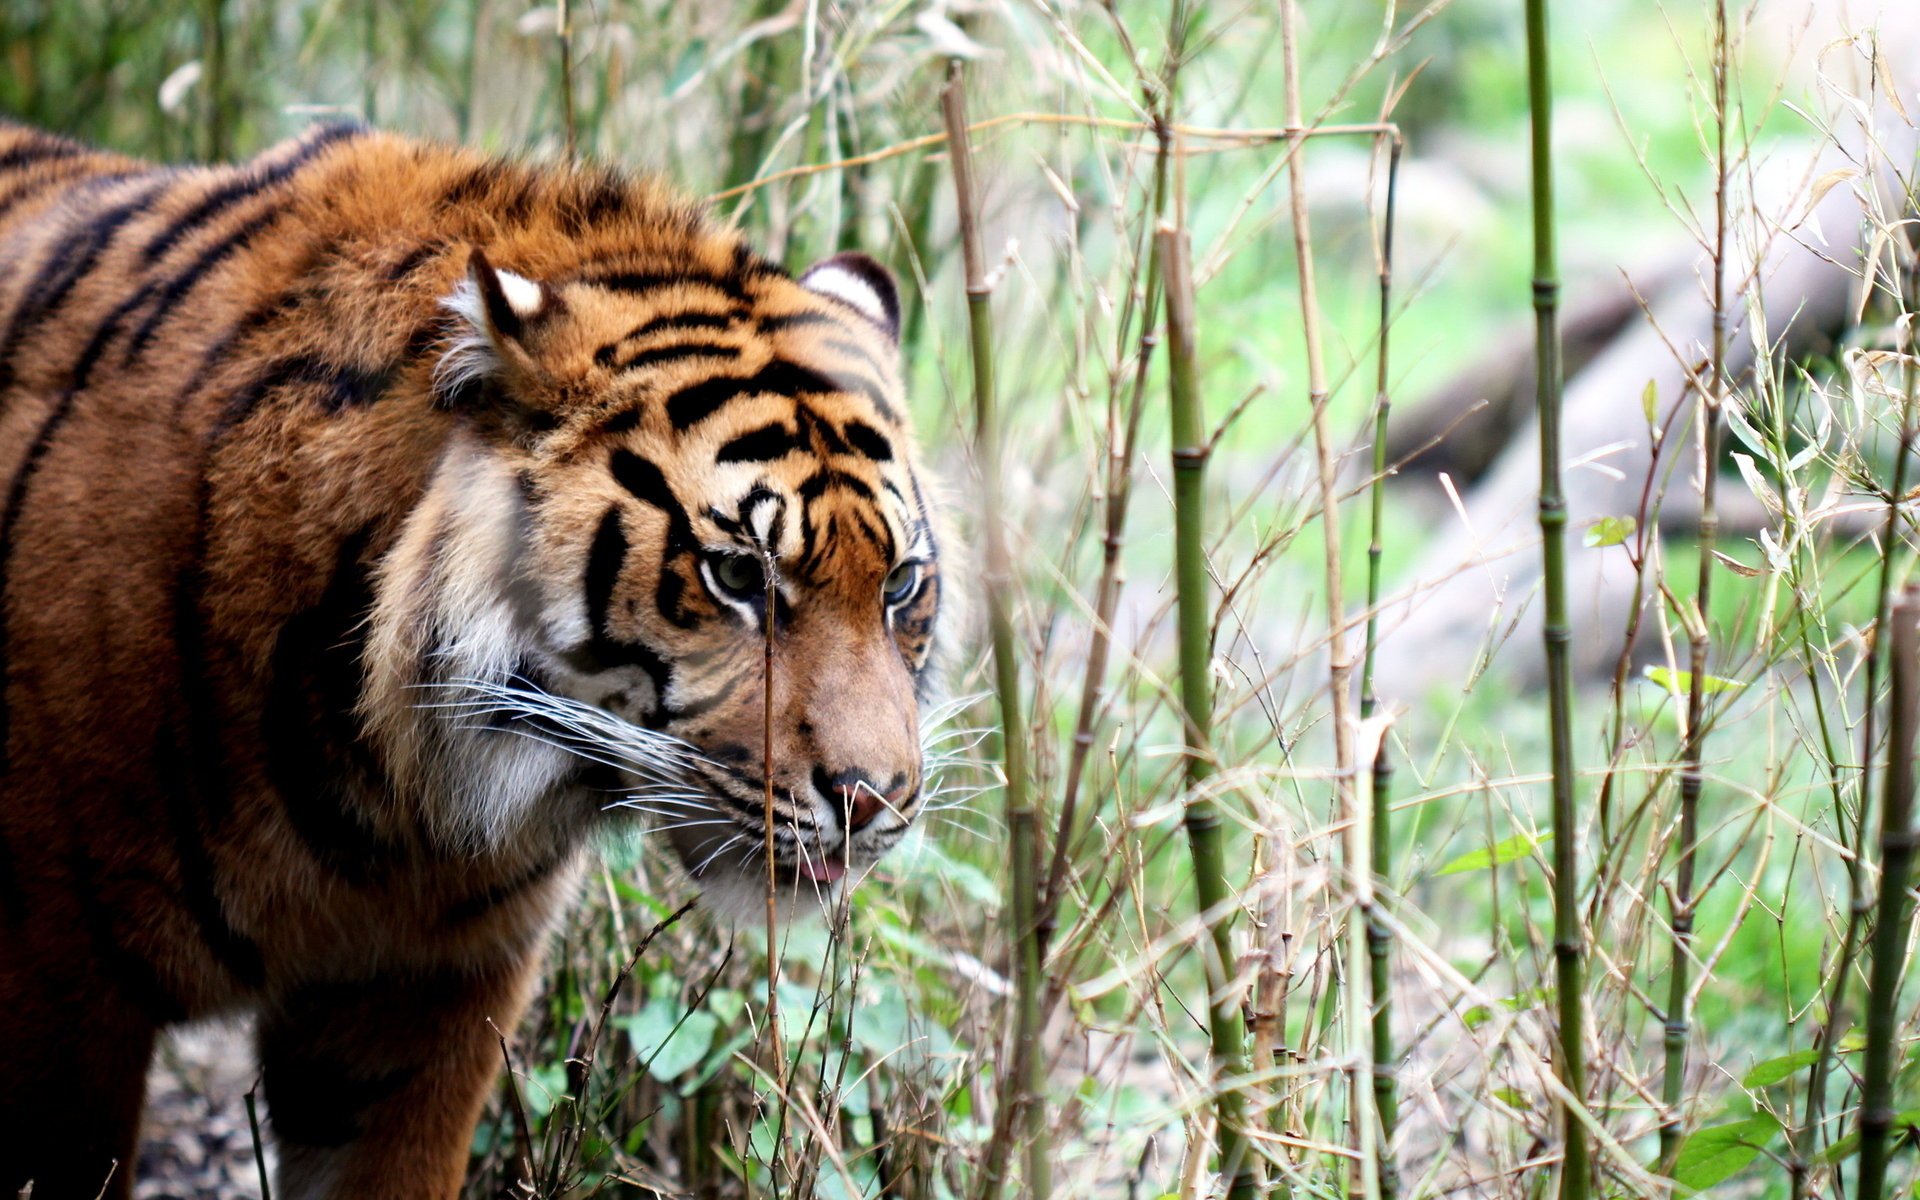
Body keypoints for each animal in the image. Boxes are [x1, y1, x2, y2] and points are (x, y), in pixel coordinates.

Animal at [0, 119, 944, 1198]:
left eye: (901, 585)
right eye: (738, 574)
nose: (874, 800)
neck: (386, 800)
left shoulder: (424, 997)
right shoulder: (58, 987)